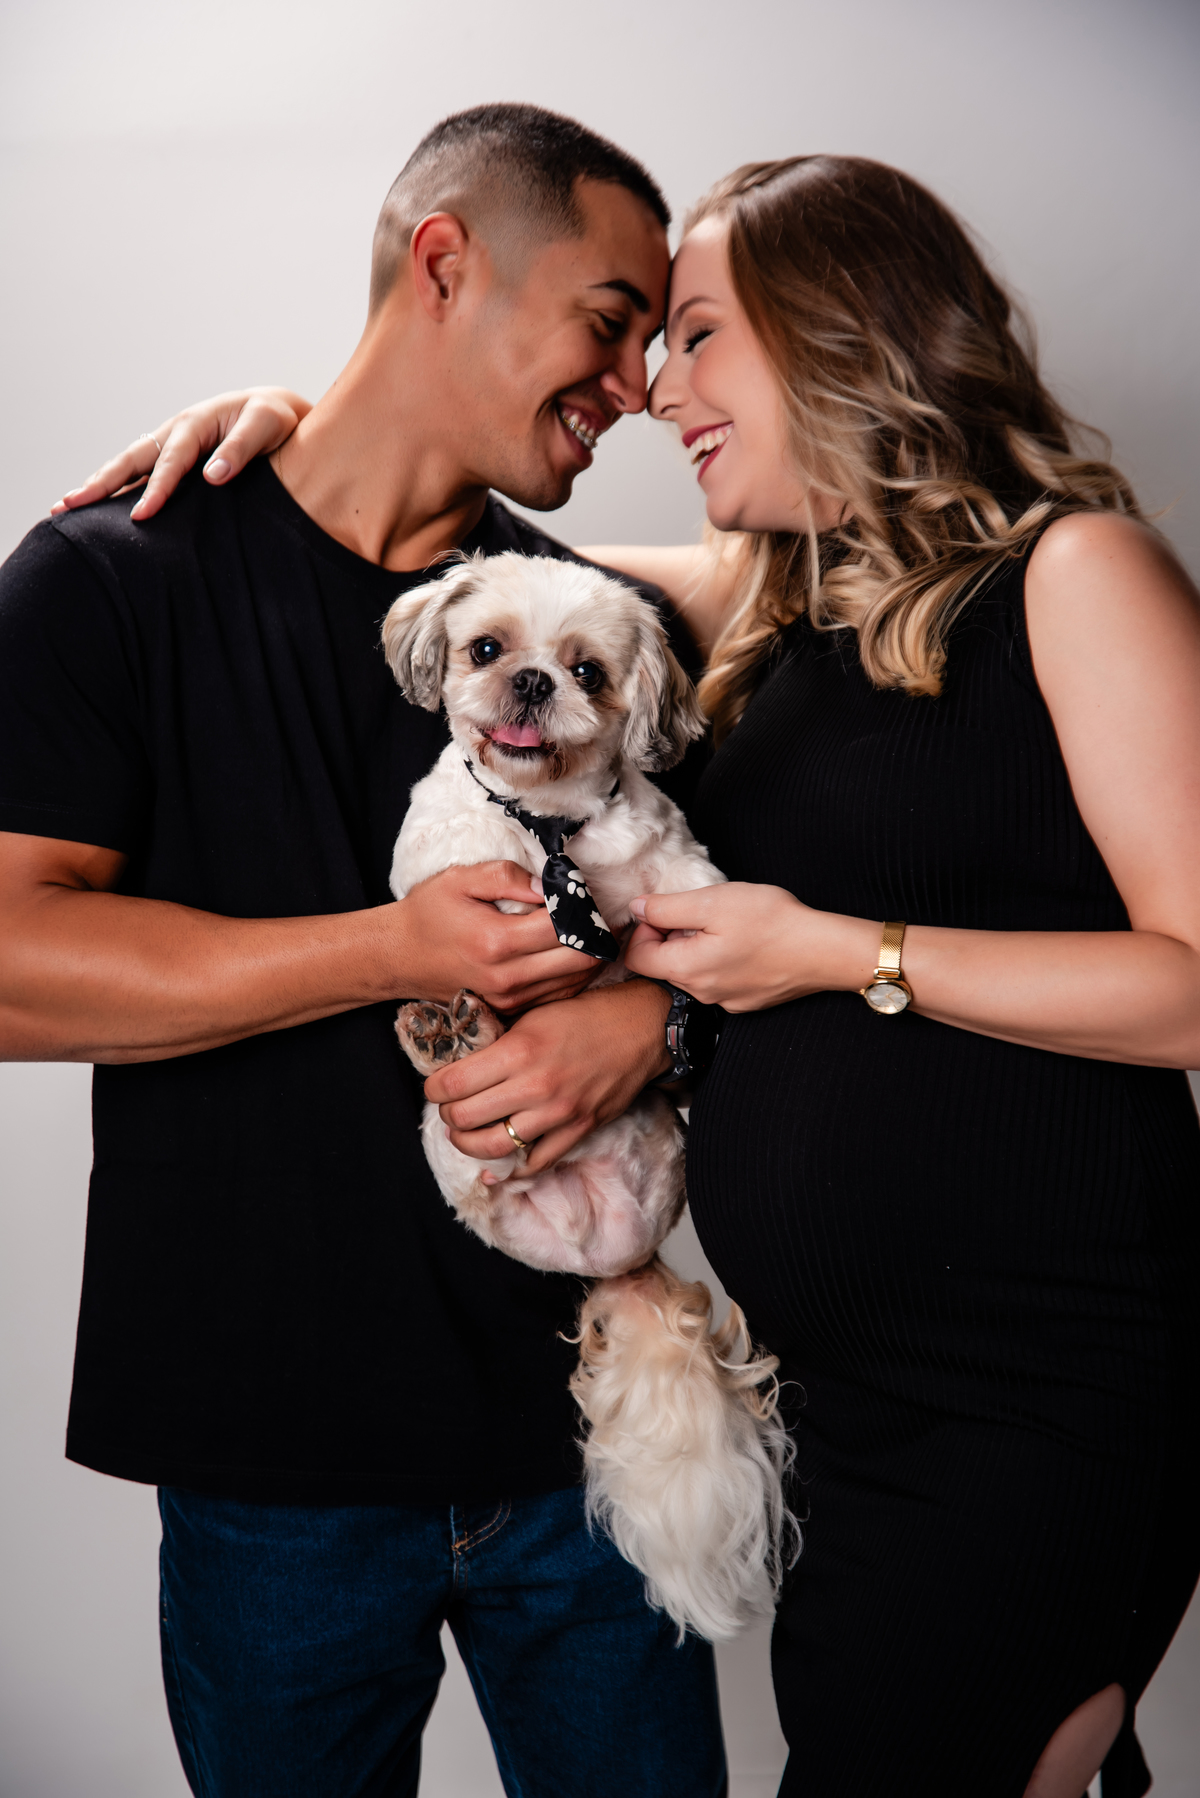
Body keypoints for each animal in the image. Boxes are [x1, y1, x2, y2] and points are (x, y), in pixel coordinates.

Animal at [381, 551, 795, 1641]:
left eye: (588, 673)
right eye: (487, 648)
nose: (532, 683)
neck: (553, 822)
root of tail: (618, 1260)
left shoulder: (679, 875)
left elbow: (677, 916)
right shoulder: (446, 873)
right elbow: (463, 867)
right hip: (455, 1151)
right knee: (486, 1152)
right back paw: (451, 1037)